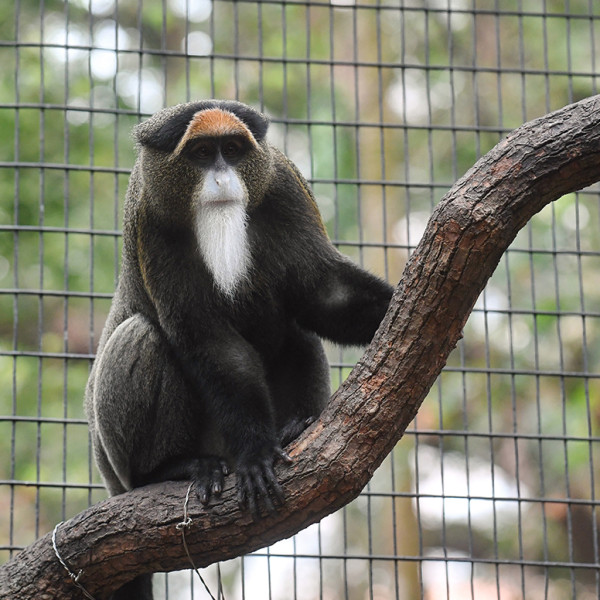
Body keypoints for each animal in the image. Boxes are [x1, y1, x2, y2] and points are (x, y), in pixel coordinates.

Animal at [84, 99, 394, 600]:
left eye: (231, 149)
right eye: (201, 154)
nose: (222, 177)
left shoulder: (284, 185)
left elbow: (322, 291)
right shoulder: (152, 219)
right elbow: (209, 341)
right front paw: (255, 454)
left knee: (295, 328)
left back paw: (297, 426)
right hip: (120, 460)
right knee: (140, 335)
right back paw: (175, 468)